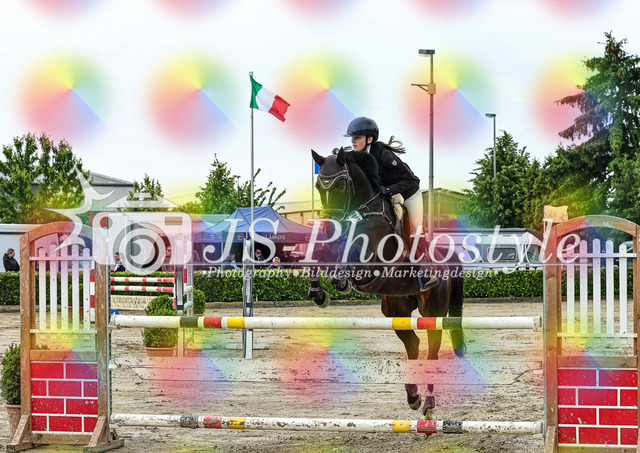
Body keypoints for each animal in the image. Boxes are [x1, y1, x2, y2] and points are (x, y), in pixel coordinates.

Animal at [307, 147, 466, 419]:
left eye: (340, 185)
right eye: (318, 185)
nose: (329, 225)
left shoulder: (372, 261)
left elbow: (350, 257)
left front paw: (341, 280)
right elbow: (320, 253)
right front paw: (318, 293)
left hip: (432, 309)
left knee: (432, 350)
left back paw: (429, 404)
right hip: (396, 308)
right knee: (413, 345)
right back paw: (413, 396)